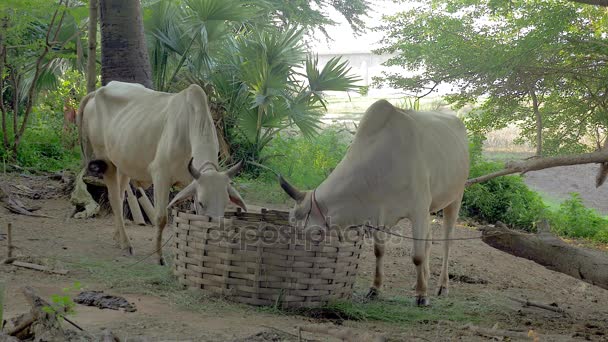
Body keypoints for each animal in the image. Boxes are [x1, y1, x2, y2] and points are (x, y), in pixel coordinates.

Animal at [78, 80, 247, 264]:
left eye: (225, 203)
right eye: (202, 203)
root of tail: (97, 91)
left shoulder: (190, 183)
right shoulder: (161, 175)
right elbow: (161, 218)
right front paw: (159, 257)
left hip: (123, 165)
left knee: (121, 197)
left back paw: (118, 237)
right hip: (106, 162)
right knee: (115, 199)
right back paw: (126, 243)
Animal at [280, 99, 470, 304]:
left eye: (311, 232)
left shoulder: (418, 210)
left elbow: (417, 256)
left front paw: (422, 295)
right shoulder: (380, 214)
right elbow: (379, 251)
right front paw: (375, 288)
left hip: (455, 198)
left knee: (446, 243)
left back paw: (442, 286)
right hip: (430, 208)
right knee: (428, 241)